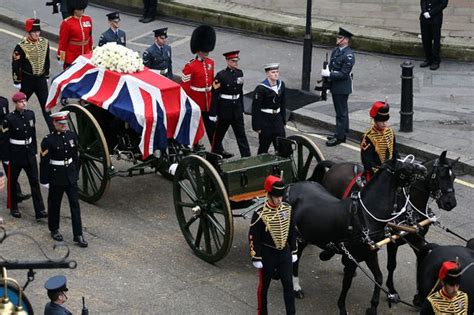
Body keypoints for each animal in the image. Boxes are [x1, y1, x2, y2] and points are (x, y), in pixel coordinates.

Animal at [284, 158, 428, 315]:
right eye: (406, 167)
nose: (424, 169)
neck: (365, 216)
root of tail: (293, 185)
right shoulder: (352, 258)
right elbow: (346, 284)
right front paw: (342, 307)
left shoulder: (370, 254)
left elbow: (379, 277)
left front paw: (373, 306)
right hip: (297, 239)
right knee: (295, 260)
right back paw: (296, 287)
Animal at [300, 151, 460, 306]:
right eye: (440, 176)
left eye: (453, 177)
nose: (450, 203)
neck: (409, 207)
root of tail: (335, 165)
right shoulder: (393, 242)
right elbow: (391, 265)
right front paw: (392, 290)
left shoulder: (416, 239)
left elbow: (423, 258)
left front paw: (419, 296)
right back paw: (327, 254)